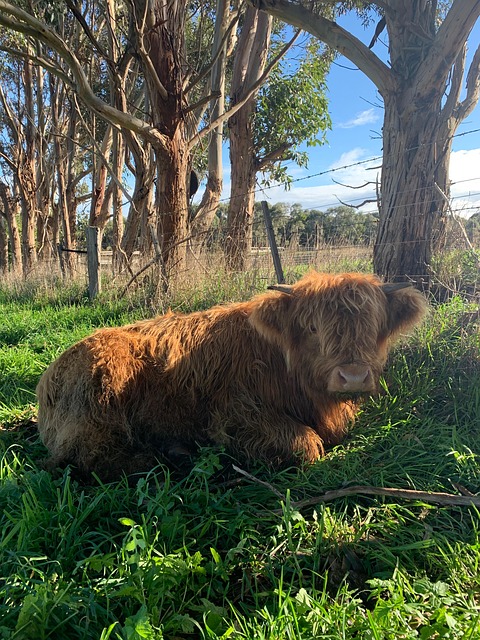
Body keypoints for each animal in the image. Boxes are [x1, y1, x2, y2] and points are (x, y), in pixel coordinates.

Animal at [36, 271, 427, 481]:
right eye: (313, 328)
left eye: (374, 329)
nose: (354, 376)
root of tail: (50, 375)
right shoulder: (232, 415)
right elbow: (306, 445)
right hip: (99, 400)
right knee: (85, 457)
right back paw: (161, 457)